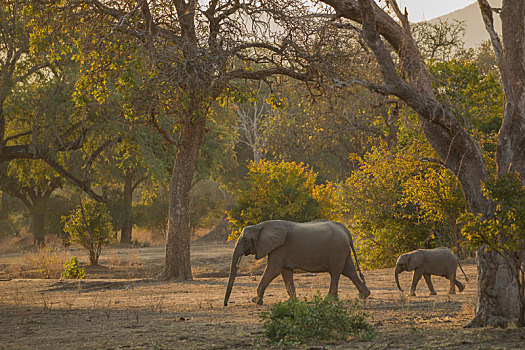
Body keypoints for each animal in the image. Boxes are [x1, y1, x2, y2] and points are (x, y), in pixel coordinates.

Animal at [222, 220, 368, 304]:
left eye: (245, 240)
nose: (226, 304)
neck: (260, 226)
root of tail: (346, 231)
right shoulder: (281, 250)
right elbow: (285, 272)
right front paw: (290, 302)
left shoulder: (279, 247)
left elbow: (273, 270)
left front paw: (256, 301)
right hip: (343, 251)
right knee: (349, 271)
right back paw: (364, 296)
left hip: (337, 250)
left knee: (336, 273)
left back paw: (329, 300)